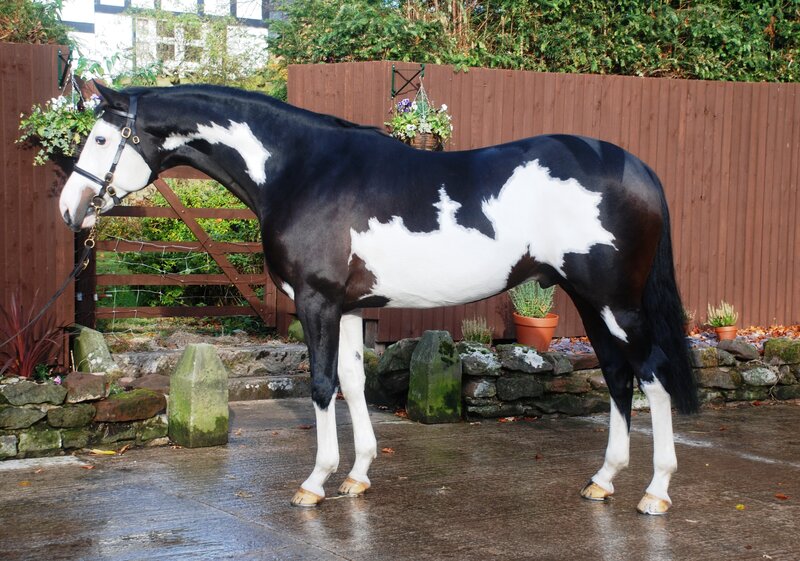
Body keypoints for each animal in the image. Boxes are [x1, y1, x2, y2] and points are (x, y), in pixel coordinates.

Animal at [58, 83, 698, 515]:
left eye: (100, 137)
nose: (69, 209)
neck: (301, 169)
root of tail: (639, 170)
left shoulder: (316, 302)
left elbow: (322, 385)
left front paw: (314, 483)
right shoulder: (346, 308)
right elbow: (353, 379)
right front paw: (357, 475)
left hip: (618, 304)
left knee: (652, 376)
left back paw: (656, 492)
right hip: (591, 301)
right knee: (617, 377)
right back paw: (604, 480)